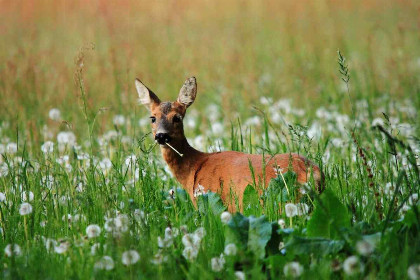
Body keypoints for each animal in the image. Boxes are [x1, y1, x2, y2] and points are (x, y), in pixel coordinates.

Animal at [136, 76, 324, 212]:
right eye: (152, 118)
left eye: (177, 117)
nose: (161, 136)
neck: (193, 168)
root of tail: (313, 172)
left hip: (284, 201)